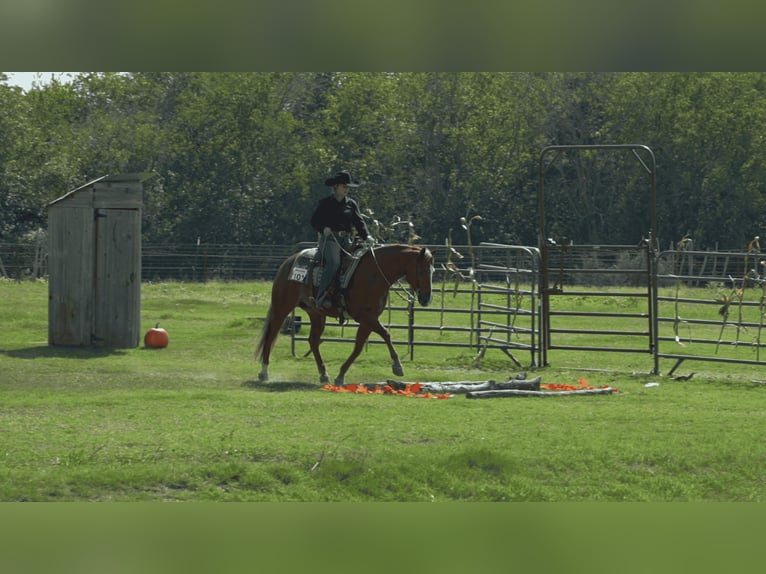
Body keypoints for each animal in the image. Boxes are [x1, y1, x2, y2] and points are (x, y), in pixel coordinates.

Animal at [255, 243, 434, 385]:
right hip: (282, 307)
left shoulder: (369, 319)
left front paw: (340, 375)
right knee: (271, 334)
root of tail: (289, 261)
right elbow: (386, 334)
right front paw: (397, 366)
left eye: (432, 270)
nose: (426, 299)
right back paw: (264, 372)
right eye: (423, 271)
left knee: (313, 340)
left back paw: (323, 374)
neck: (374, 273)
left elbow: (359, 347)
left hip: (316, 314)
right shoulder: (366, 317)